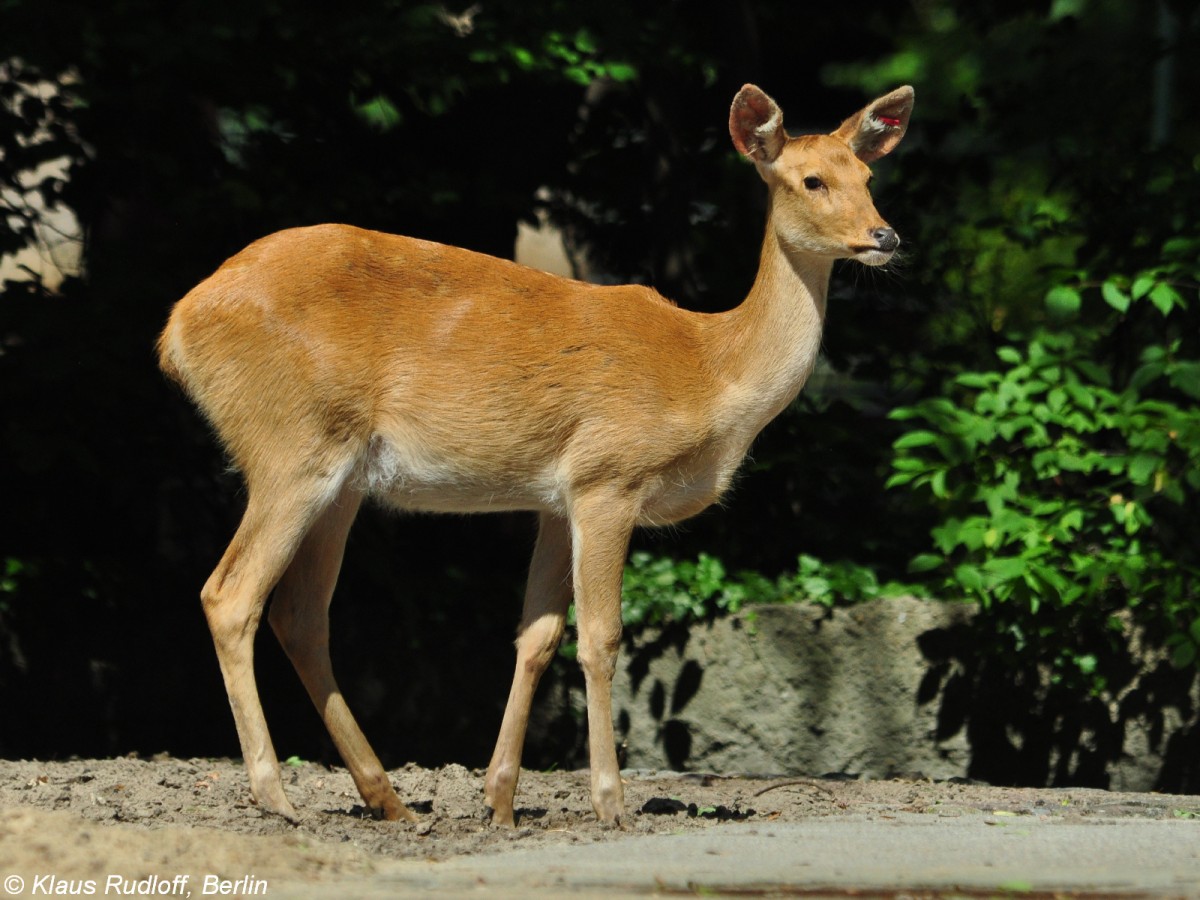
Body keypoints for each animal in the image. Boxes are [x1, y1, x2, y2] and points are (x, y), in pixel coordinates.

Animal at [157, 81, 907, 830]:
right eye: (811, 180)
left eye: (869, 178)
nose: (886, 237)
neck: (711, 370)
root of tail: (177, 328)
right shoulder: (609, 474)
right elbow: (601, 637)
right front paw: (610, 802)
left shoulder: (556, 497)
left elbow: (537, 637)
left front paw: (501, 801)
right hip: (291, 444)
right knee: (230, 595)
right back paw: (276, 796)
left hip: (339, 479)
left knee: (301, 614)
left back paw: (388, 798)